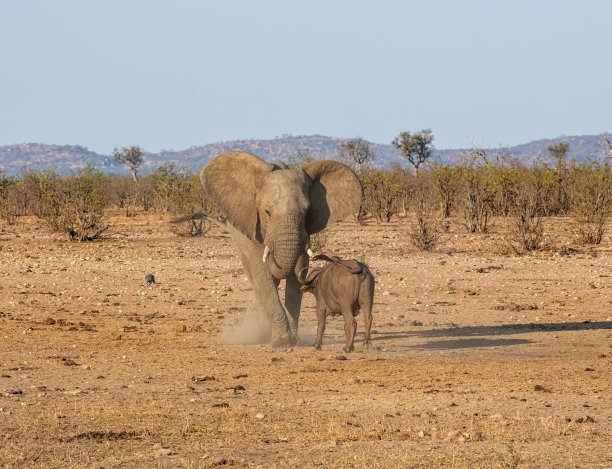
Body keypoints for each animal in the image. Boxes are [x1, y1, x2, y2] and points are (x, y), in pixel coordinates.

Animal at [201, 152, 364, 346]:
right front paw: (282, 341)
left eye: (307, 212)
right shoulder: (256, 230)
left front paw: (294, 340)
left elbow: (296, 278)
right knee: (255, 279)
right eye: (267, 212)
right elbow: (263, 275)